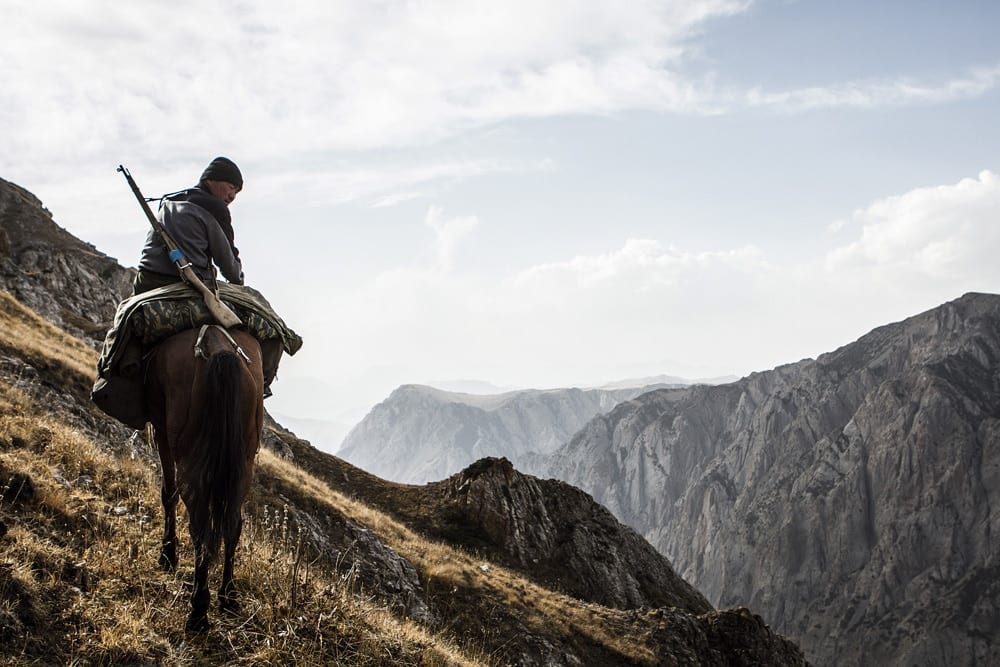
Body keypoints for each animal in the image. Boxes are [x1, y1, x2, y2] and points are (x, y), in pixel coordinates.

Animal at [146, 324, 264, 632]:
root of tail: (218, 347)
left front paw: (168, 555)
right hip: (244, 461)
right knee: (233, 523)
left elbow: (168, 493)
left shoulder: (162, 433)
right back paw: (228, 595)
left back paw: (198, 610)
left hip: (189, 452)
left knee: (199, 523)